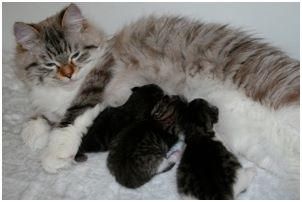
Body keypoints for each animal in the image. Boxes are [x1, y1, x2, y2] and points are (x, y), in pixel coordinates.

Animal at [14, 3, 300, 178]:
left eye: (75, 55)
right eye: (50, 64)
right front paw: (33, 132)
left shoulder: (98, 81)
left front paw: (53, 154)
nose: (68, 73)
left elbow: (71, 117)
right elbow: (43, 117)